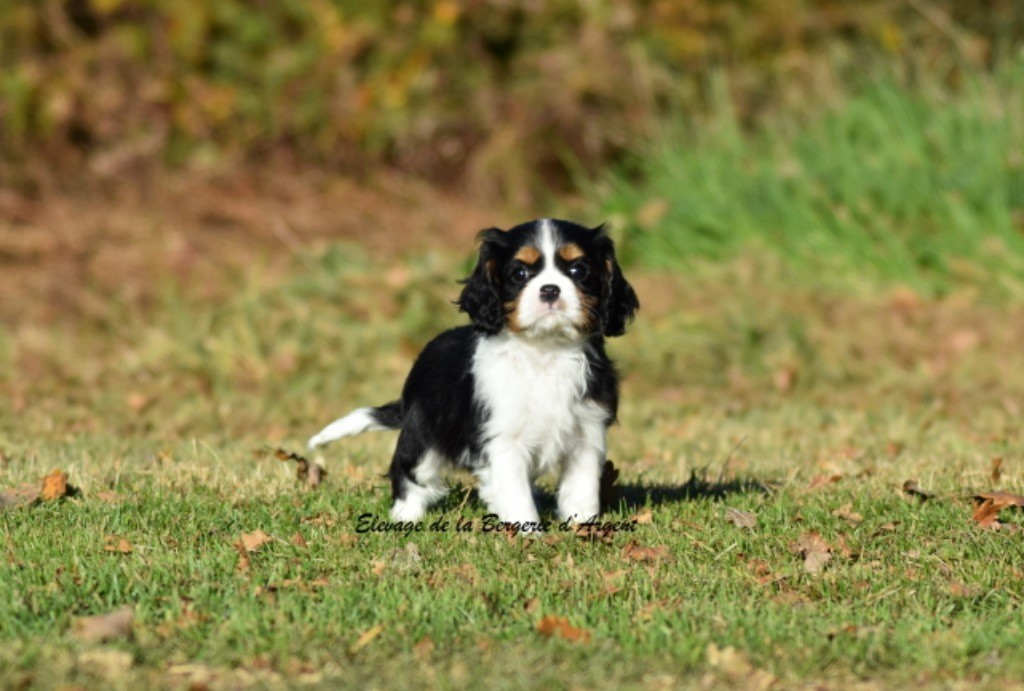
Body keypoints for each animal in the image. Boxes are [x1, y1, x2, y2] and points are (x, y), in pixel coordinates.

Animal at [307, 219, 634, 528]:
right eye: (519, 274)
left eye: (579, 270)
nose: (550, 289)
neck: (546, 350)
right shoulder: (504, 441)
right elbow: (516, 496)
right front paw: (528, 534)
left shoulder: (586, 433)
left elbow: (581, 491)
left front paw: (584, 529)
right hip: (423, 433)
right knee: (410, 473)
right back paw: (404, 517)